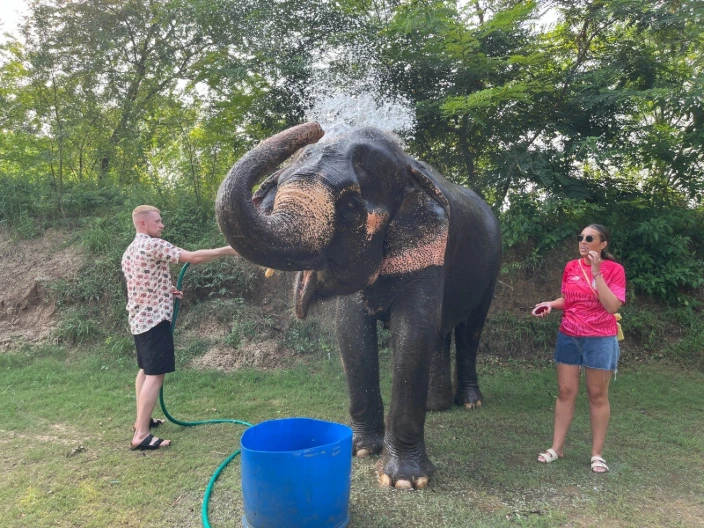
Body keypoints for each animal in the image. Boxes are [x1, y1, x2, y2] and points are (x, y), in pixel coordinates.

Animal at [216, 122, 501, 490]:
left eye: (350, 205)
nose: (315, 127)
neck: (407, 168)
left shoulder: (428, 249)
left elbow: (412, 330)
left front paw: (405, 481)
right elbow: (351, 332)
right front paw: (361, 449)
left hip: (492, 266)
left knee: (470, 330)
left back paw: (469, 402)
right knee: (440, 331)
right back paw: (436, 406)